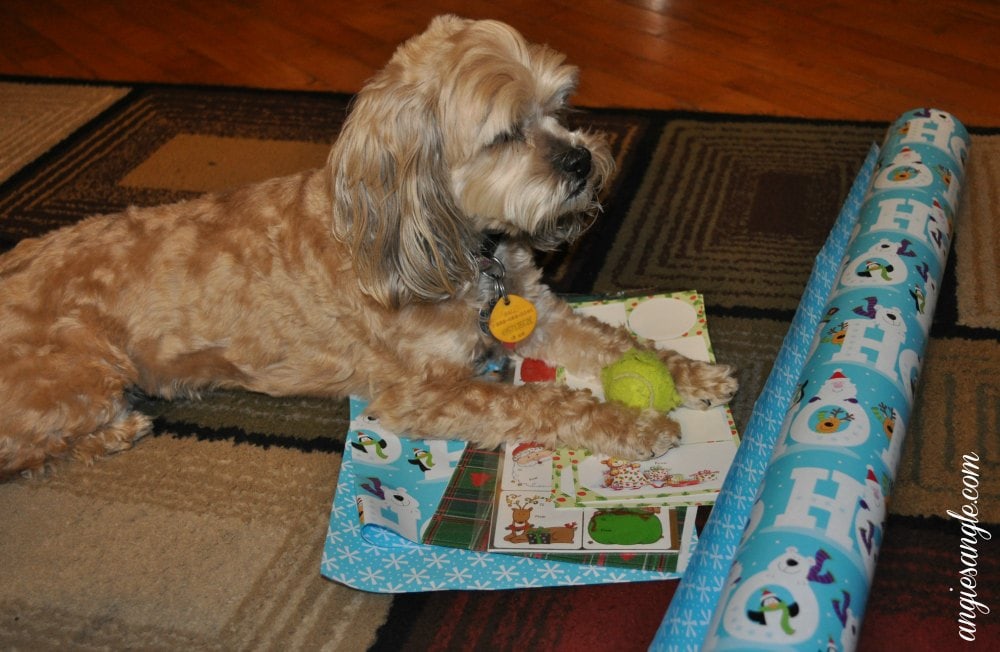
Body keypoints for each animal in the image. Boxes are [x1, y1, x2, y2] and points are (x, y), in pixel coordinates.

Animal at [0, 12, 736, 476]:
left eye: (560, 105)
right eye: (504, 134)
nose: (583, 161)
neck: (454, 245)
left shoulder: (536, 311)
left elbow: (616, 340)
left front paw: (687, 373)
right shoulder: (424, 392)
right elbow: (535, 400)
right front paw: (634, 424)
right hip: (79, 378)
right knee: (27, 449)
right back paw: (116, 430)